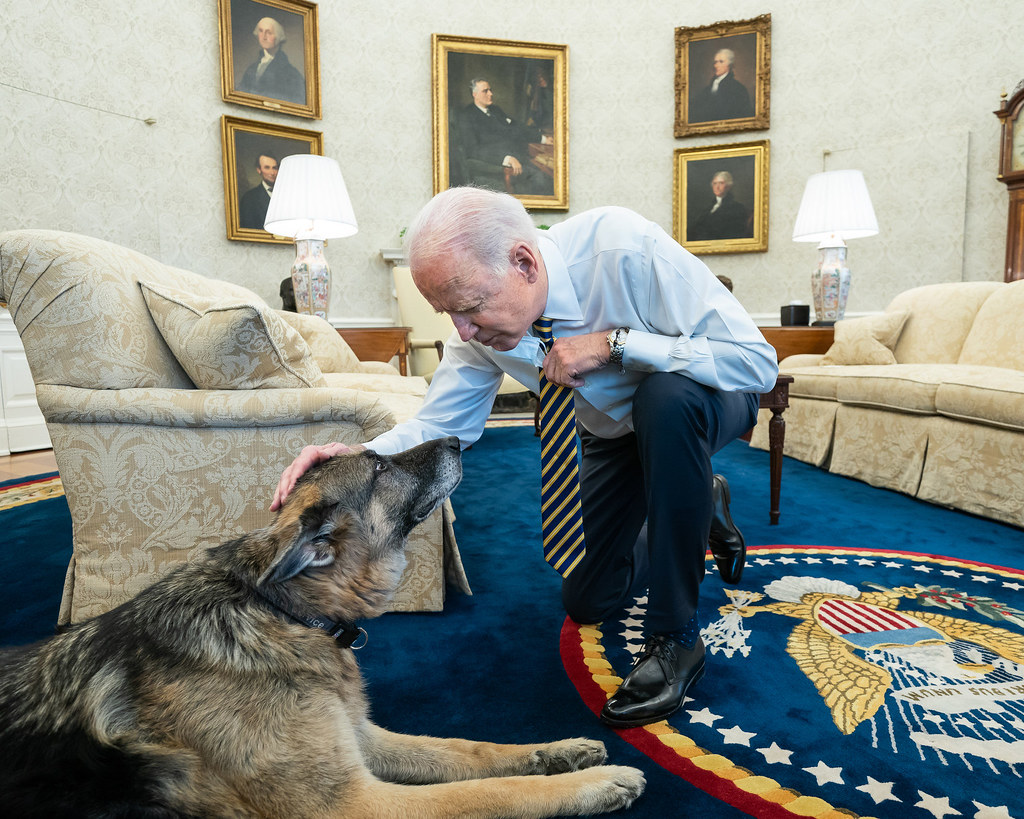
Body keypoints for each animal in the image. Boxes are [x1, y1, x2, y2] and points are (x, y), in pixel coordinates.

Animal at [0, 438, 643, 814]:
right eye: (380, 465)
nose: (458, 437)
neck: (280, 612)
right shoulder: (356, 803)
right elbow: (484, 791)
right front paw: (589, 785)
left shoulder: (361, 738)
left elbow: (470, 750)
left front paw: (557, 752)